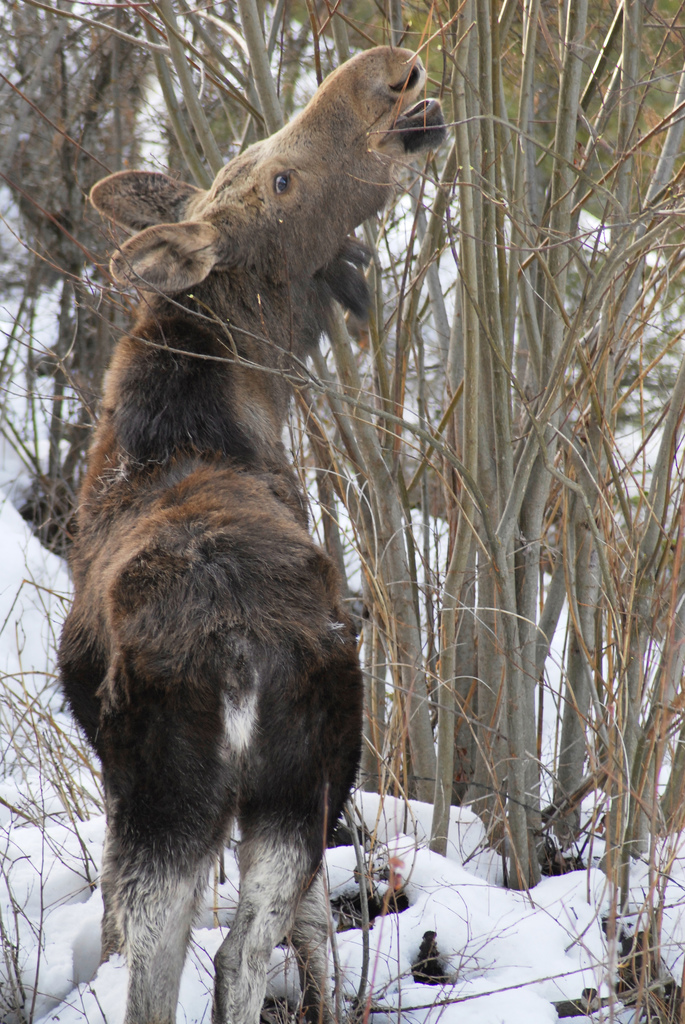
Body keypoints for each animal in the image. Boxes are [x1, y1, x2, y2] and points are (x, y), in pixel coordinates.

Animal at [58, 46, 444, 1024]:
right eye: (279, 178)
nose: (389, 71)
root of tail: (236, 656)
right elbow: (306, 926)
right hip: (276, 780)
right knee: (223, 949)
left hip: (190, 792)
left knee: (177, 954)